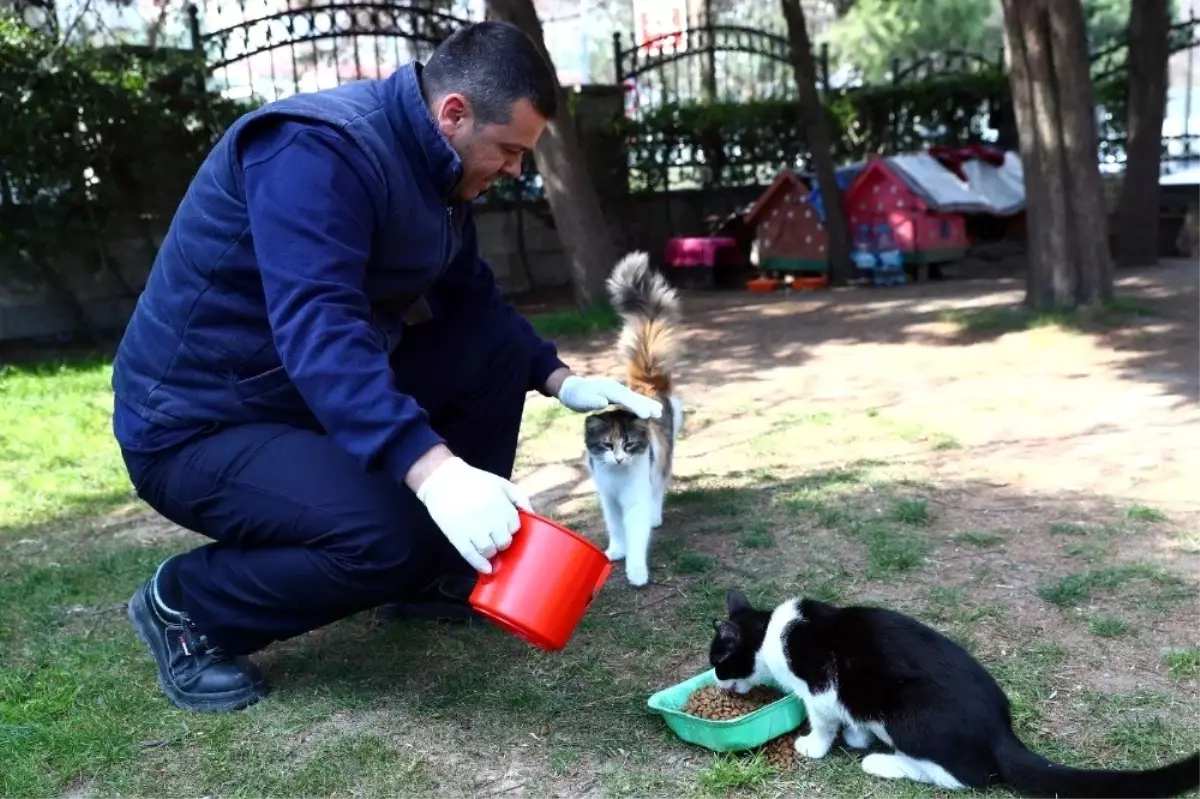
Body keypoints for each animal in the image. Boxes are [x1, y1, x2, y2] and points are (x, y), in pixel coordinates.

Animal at [583, 251, 686, 587]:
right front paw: (616, 550)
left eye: (628, 445)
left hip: (663, 459)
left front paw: (637, 570)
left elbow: (637, 535)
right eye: (606, 445)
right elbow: (616, 529)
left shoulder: (634, 499)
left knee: (658, 489)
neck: (617, 477)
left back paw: (655, 517)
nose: (618, 459)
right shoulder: (609, 499)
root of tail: (646, 384)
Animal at [705, 585, 1200, 796]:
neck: (771, 632)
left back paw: (883, 763)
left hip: (908, 712)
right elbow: (852, 717)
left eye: (717, 660)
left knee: (963, 778)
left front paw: (815, 745)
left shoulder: (822, 688)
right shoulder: (847, 698)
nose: (715, 679)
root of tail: (1002, 733)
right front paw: (856, 736)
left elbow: (824, 720)